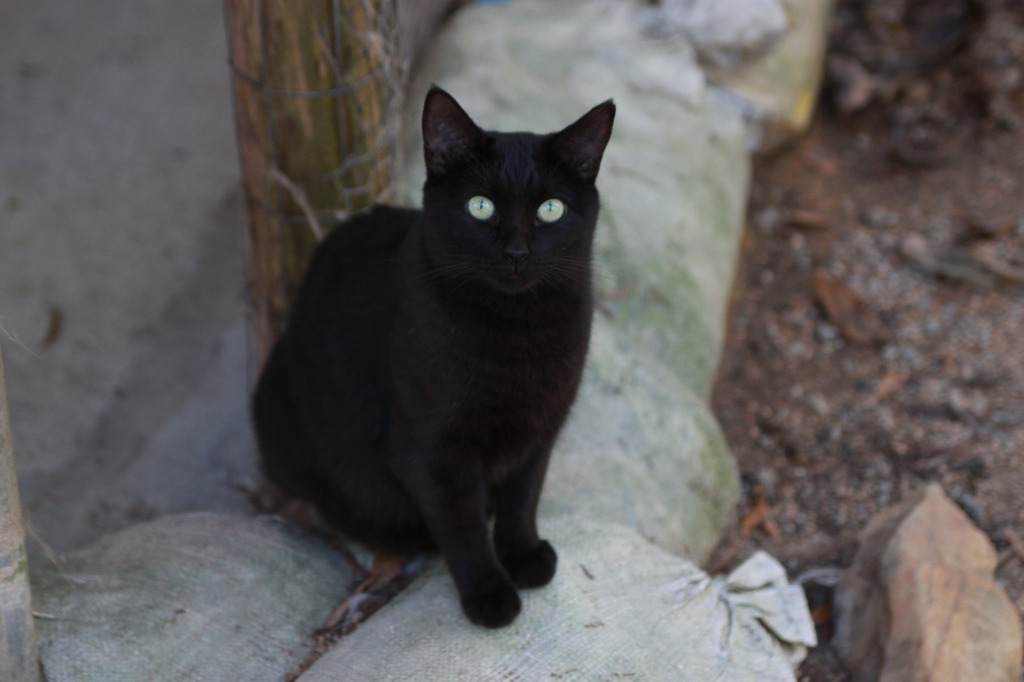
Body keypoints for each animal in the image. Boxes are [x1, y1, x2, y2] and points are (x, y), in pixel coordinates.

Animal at [253, 86, 614, 626]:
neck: (517, 335)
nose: (516, 252)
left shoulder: (541, 426)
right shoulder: (431, 452)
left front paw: (522, 553)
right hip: (279, 416)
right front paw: (489, 593)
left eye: (551, 209)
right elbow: (462, 525)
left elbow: (523, 495)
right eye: (480, 206)